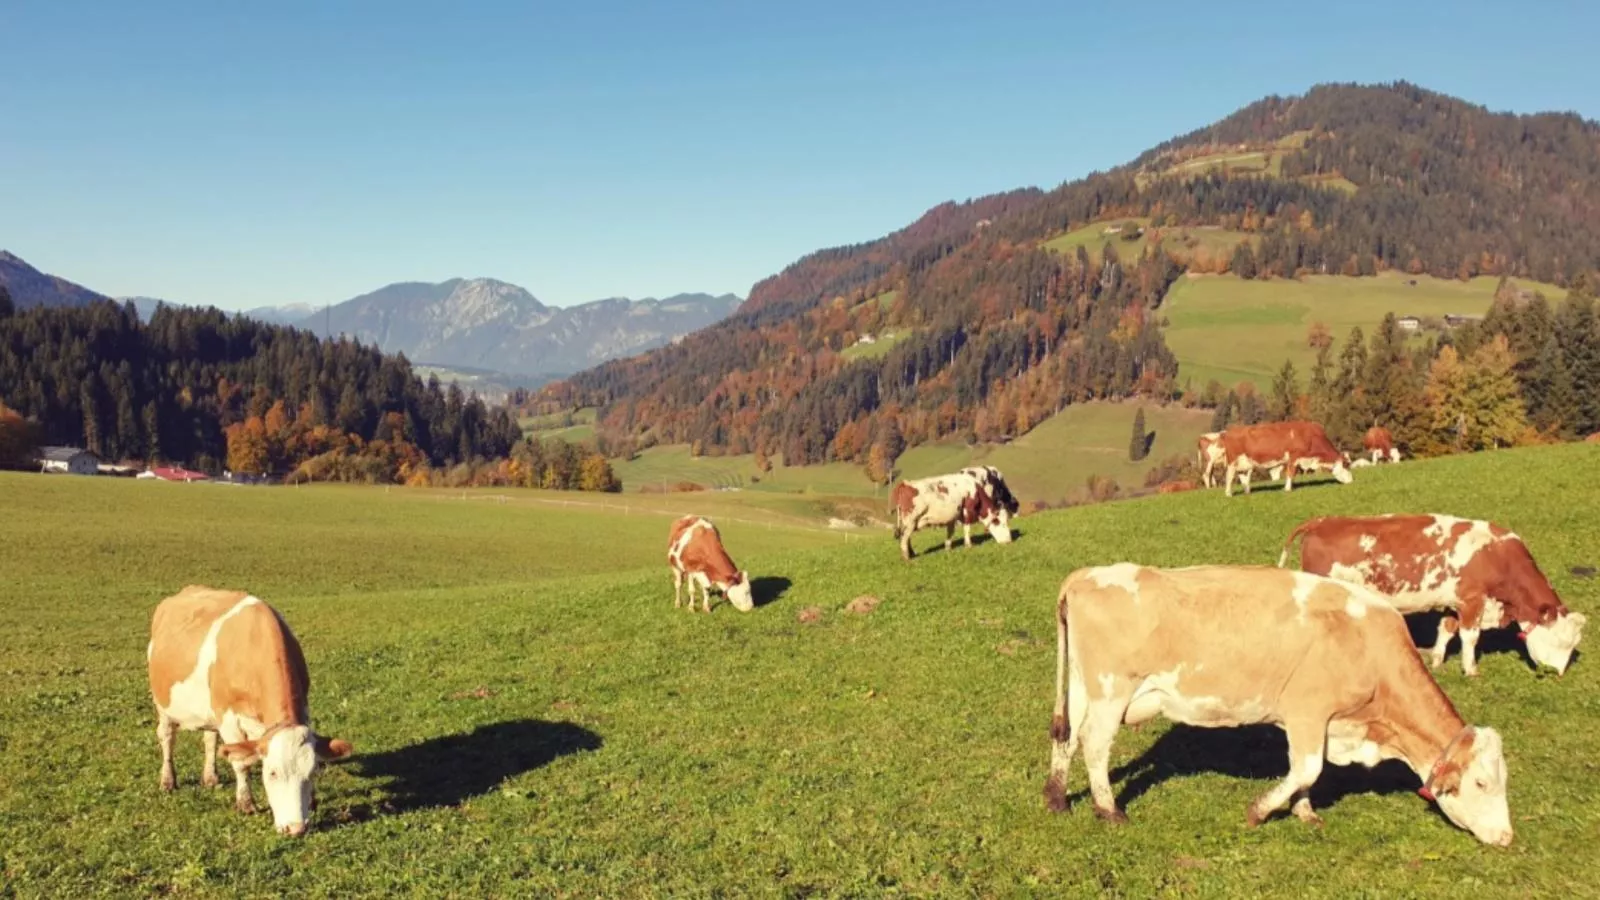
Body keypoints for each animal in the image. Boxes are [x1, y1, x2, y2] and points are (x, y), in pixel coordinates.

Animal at [148, 586, 353, 832]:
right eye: (272, 773)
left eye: (311, 772)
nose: (295, 828)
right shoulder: (228, 719)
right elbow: (241, 764)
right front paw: (246, 803)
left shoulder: (303, 708)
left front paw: (312, 801)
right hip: (163, 705)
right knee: (167, 737)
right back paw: (168, 780)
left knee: (210, 740)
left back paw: (210, 777)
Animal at [1036, 563, 1510, 845]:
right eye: (1482, 783)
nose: (1507, 837)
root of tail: (1088, 574)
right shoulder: (1308, 711)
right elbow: (1309, 768)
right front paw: (1260, 811)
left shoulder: (1320, 722)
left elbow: (1307, 771)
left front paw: (1304, 811)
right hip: (1111, 691)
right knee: (1095, 745)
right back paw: (1108, 809)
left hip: (1083, 687)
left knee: (1067, 739)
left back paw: (1058, 798)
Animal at [1222, 416, 1350, 493]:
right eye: (1346, 465)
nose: (1351, 481)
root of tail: (1229, 431)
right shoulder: (1294, 457)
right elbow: (1290, 473)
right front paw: (1288, 489)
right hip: (1232, 462)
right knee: (1229, 476)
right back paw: (1228, 494)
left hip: (1244, 464)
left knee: (1243, 477)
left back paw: (1247, 492)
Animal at [1273, 512, 1587, 672]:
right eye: (1560, 641)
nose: (1558, 674)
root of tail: (1322, 521)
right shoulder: (1472, 600)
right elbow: (1470, 637)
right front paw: (1471, 670)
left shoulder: (1453, 602)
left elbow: (1446, 628)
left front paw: (1436, 659)